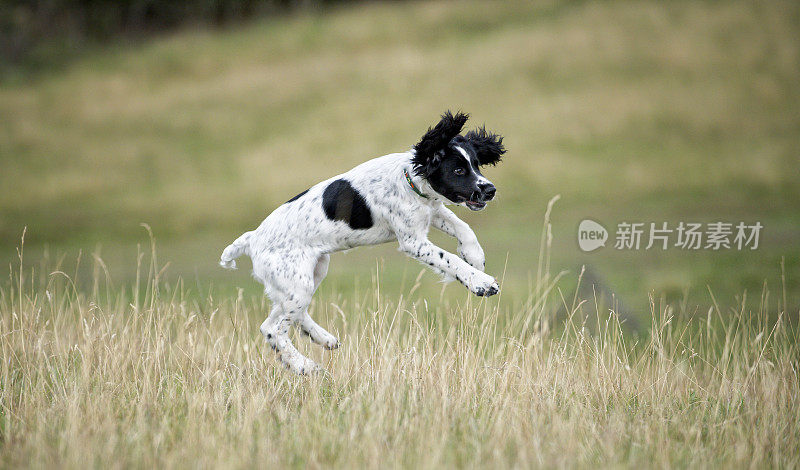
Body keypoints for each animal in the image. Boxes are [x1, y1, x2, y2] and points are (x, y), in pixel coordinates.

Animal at [219, 111, 506, 374]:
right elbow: (451, 259)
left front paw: (475, 257)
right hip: (297, 282)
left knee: (284, 317)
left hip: (309, 274)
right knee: (273, 329)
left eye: (477, 165)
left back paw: (323, 339)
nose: (491, 190)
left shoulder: (431, 212)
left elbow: (463, 228)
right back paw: (304, 365)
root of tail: (252, 238)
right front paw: (481, 282)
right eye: (458, 170)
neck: (407, 178)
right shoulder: (413, 241)